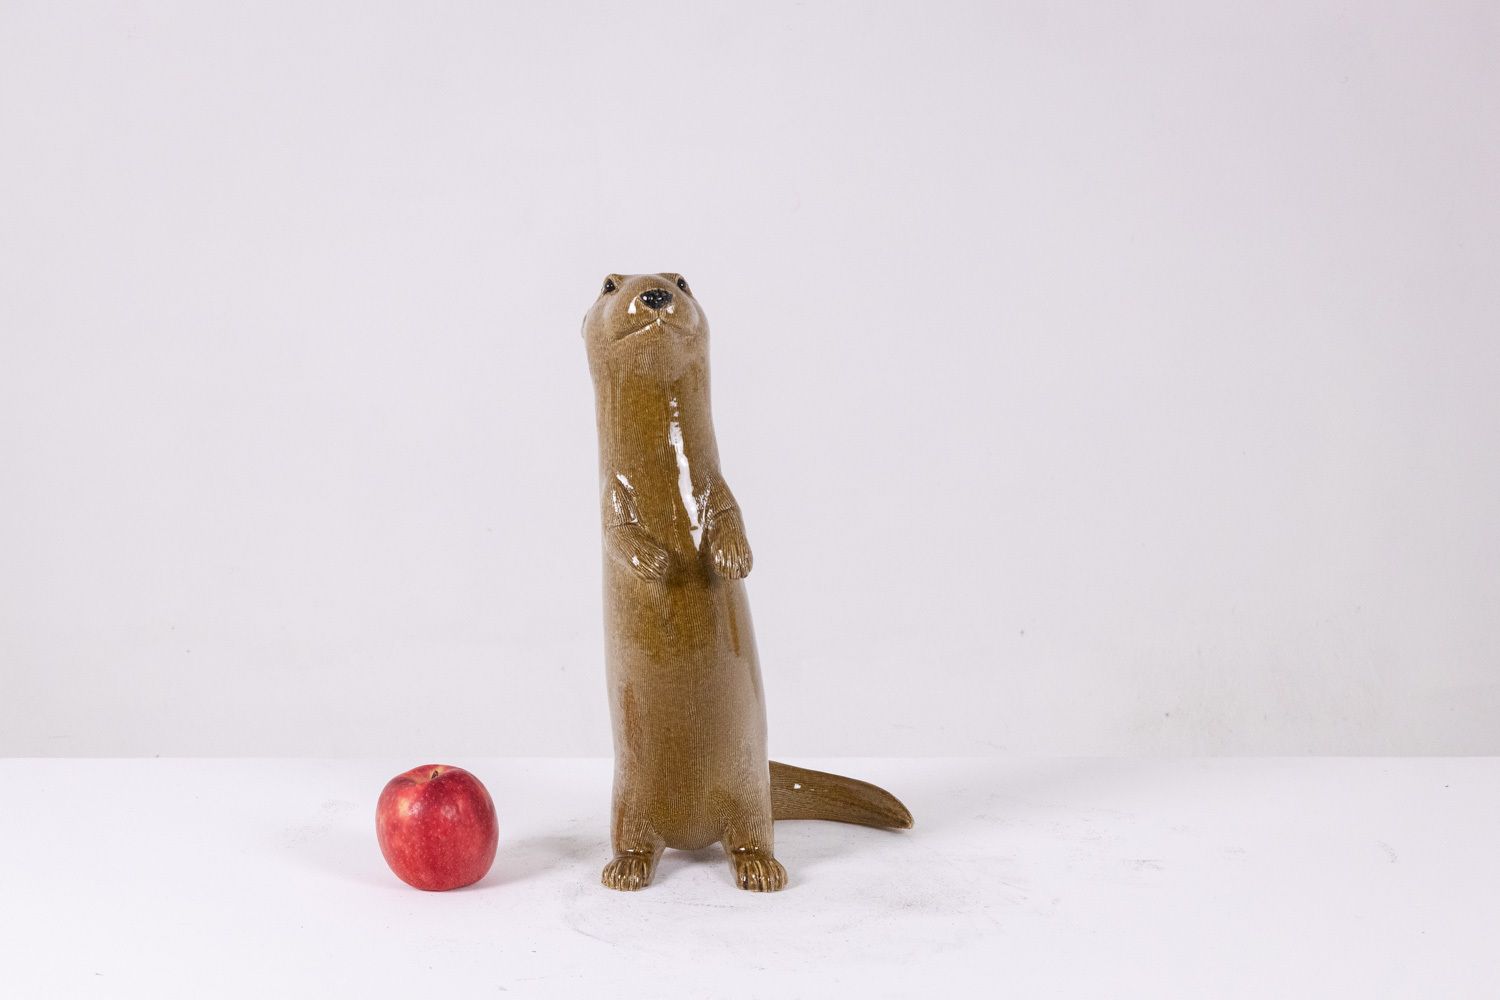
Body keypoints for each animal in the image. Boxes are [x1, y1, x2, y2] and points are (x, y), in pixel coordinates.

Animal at [582, 272, 911, 892]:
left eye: (681, 279)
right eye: (610, 284)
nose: (653, 293)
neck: (668, 483)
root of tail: (690, 831)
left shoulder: (717, 487)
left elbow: (732, 514)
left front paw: (734, 558)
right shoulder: (609, 500)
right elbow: (617, 537)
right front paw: (654, 563)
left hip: (749, 790)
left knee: (750, 834)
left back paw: (760, 868)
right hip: (626, 794)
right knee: (636, 838)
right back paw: (626, 869)